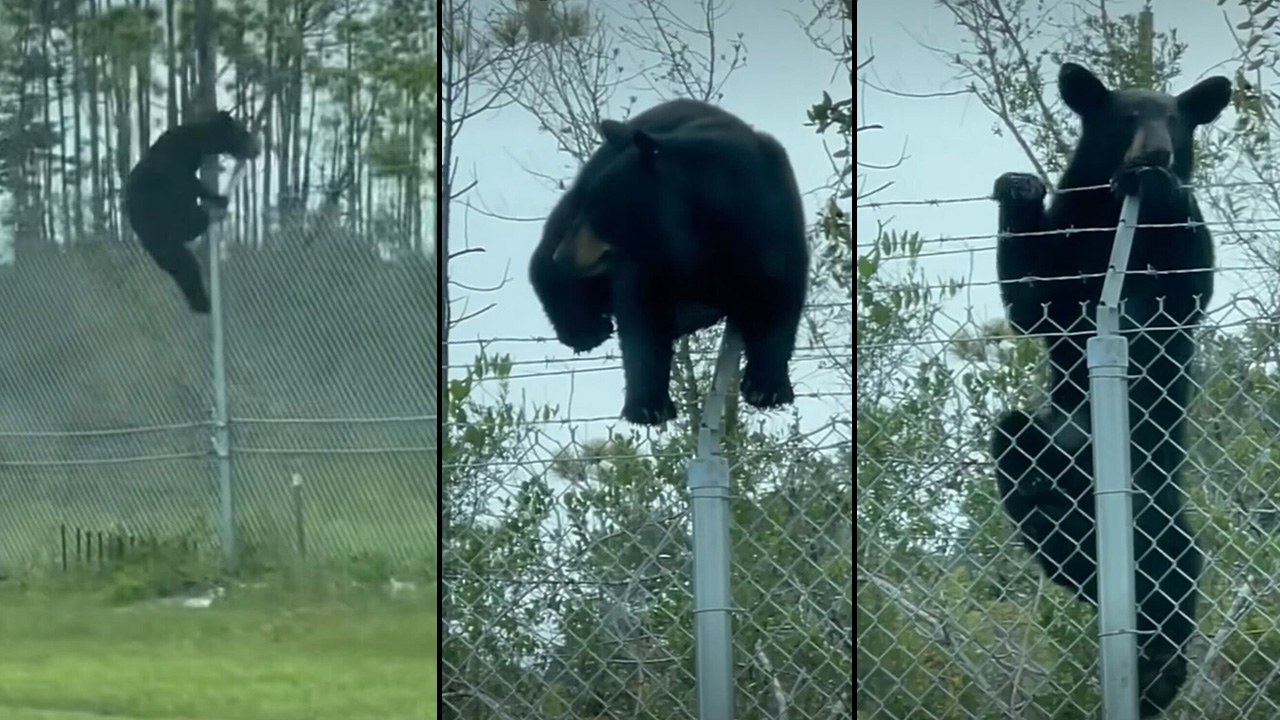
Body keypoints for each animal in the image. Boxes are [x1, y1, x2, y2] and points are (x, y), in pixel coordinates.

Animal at [123, 110, 260, 314]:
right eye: (243, 133)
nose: (257, 149)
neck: (195, 143)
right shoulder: (173, 168)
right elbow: (190, 184)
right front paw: (217, 197)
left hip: (161, 244)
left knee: (182, 266)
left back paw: (200, 303)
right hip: (160, 222)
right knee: (186, 255)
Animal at [528, 99, 810, 425]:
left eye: (598, 209)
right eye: (590, 205)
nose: (563, 256)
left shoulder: (772, 225)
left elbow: (778, 295)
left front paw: (767, 389)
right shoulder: (649, 258)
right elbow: (643, 315)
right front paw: (648, 406)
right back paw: (584, 328)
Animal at [990, 63, 1230, 717]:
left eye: (1176, 120)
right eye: (1127, 117)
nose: (1156, 152)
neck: (1119, 215)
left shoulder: (1174, 268)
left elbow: (1187, 283)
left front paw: (1167, 187)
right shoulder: (1069, 241)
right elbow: (1031, 300)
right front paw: (1018, 188)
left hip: (1149, 496)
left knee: (1170, 566)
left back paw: (1158, 670)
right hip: (1045, 446)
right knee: (1016, 447)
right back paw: (1044, 498)